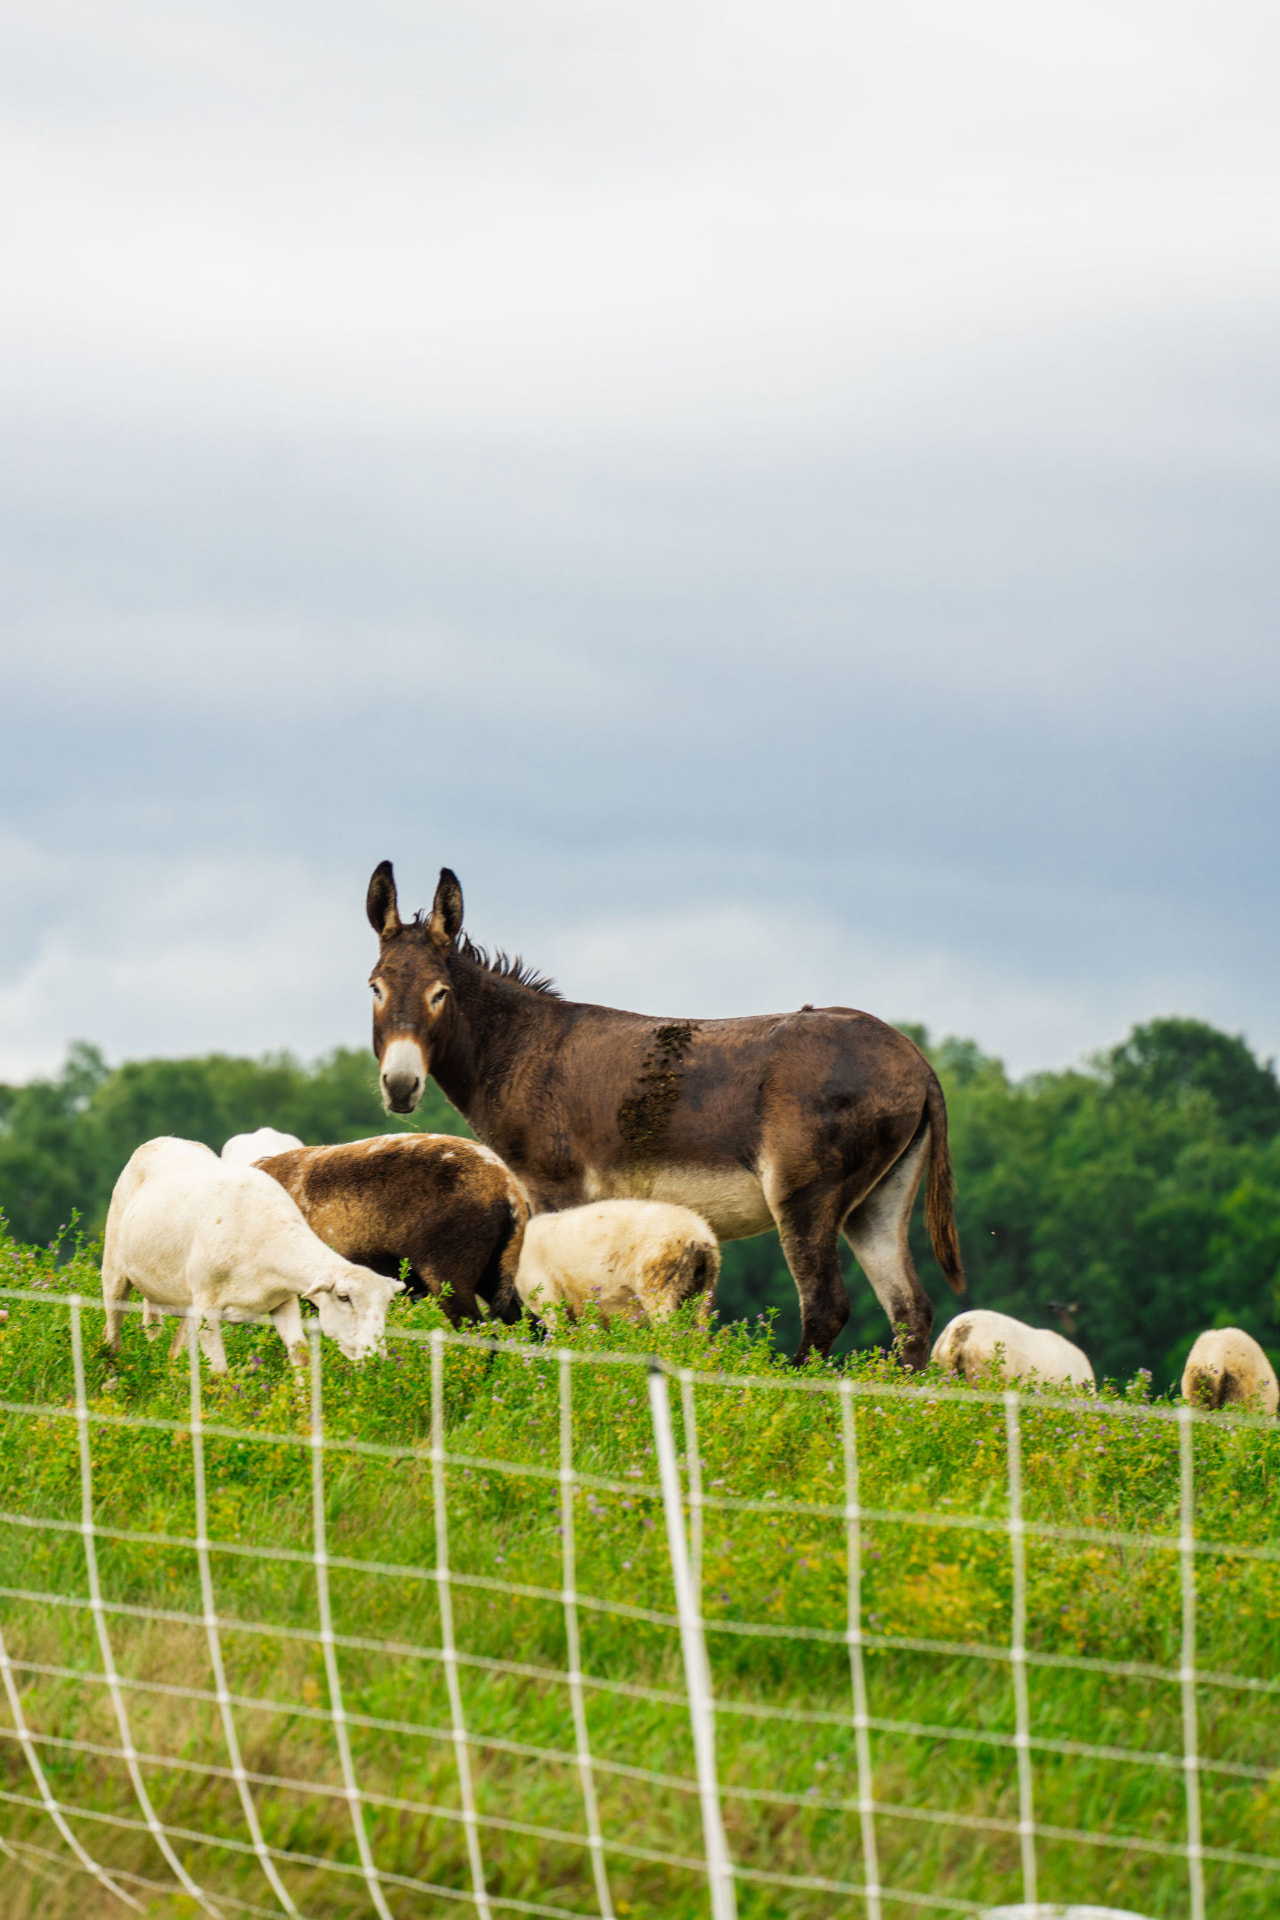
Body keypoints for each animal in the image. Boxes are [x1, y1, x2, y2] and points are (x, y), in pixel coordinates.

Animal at [102, 1137, 403, 1371]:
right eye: (343, 1297)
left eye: (386, 1304)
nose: (376, 1358)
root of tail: (161, 1140)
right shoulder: (207, 1309)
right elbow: (220, 1372)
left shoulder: (282, 1301)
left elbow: (301, 1354)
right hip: (115, 1269)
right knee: (112, 1332)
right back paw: (111, 1374)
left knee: (174, 1352)